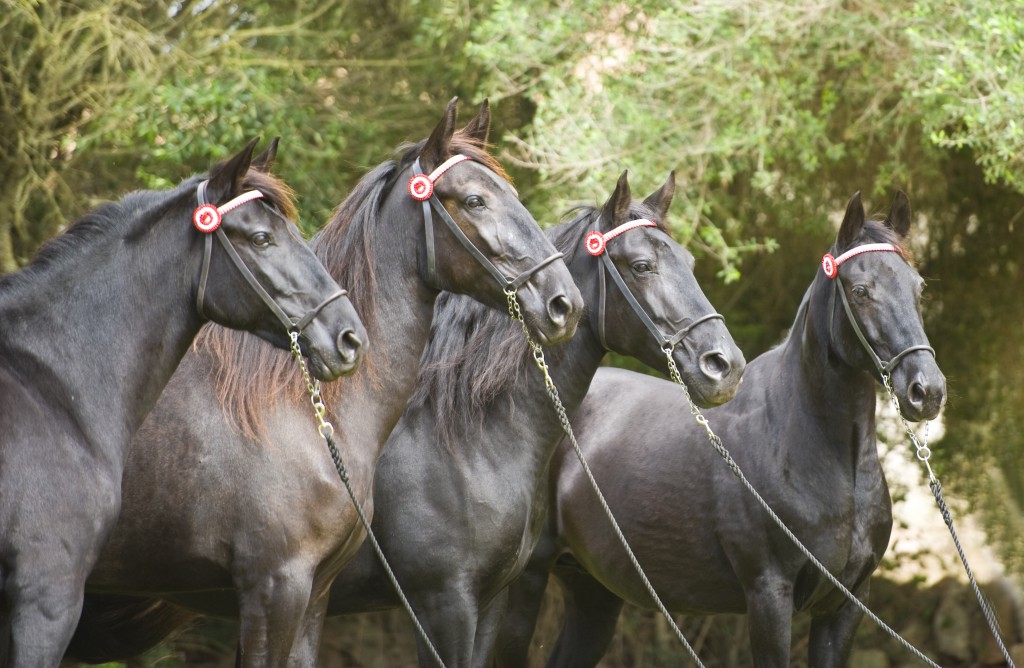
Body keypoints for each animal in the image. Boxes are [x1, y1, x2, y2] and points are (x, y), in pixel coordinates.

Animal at [327, 172, 745, 667]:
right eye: (642, 266)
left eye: (690, 262)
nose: (726, 366)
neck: (456, 437)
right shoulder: (441, 605)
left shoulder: (488, 602)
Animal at [491, 190, 946, 663]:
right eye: (860, 291)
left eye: (918, 288)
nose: (926, 390)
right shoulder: (768, 598)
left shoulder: (846, 606)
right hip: (525, 585)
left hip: (595, 592)